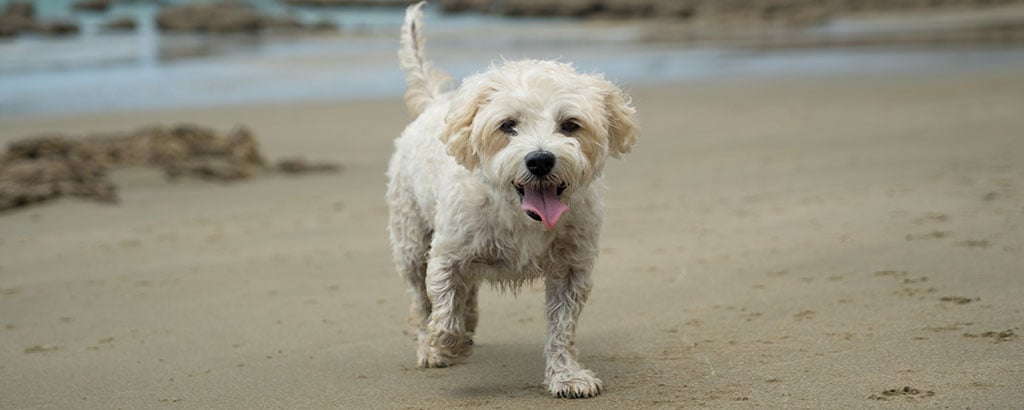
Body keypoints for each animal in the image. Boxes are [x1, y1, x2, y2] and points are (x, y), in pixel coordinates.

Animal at [387, 1, 634, 399]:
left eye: (570, 124)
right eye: (507, 125)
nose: (540, 160)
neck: (519, 214)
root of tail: (437, 104)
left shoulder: (572, 269)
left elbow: (562, 329)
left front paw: (566, 376)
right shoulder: (446, 255)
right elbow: (444, 305)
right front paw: (448, 345)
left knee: (466, 292)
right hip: (410, 243)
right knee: (420, 300)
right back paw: (430, 346)